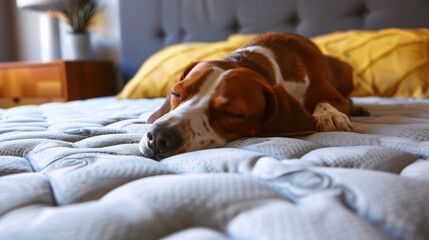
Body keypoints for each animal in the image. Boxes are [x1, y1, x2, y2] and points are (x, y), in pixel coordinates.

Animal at [140, 31, 358, 159]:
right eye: (176, 93)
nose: (159, 136)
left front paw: (329, 114)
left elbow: (327, 102)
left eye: (231, 113)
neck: (252, 60)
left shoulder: (332, 95)